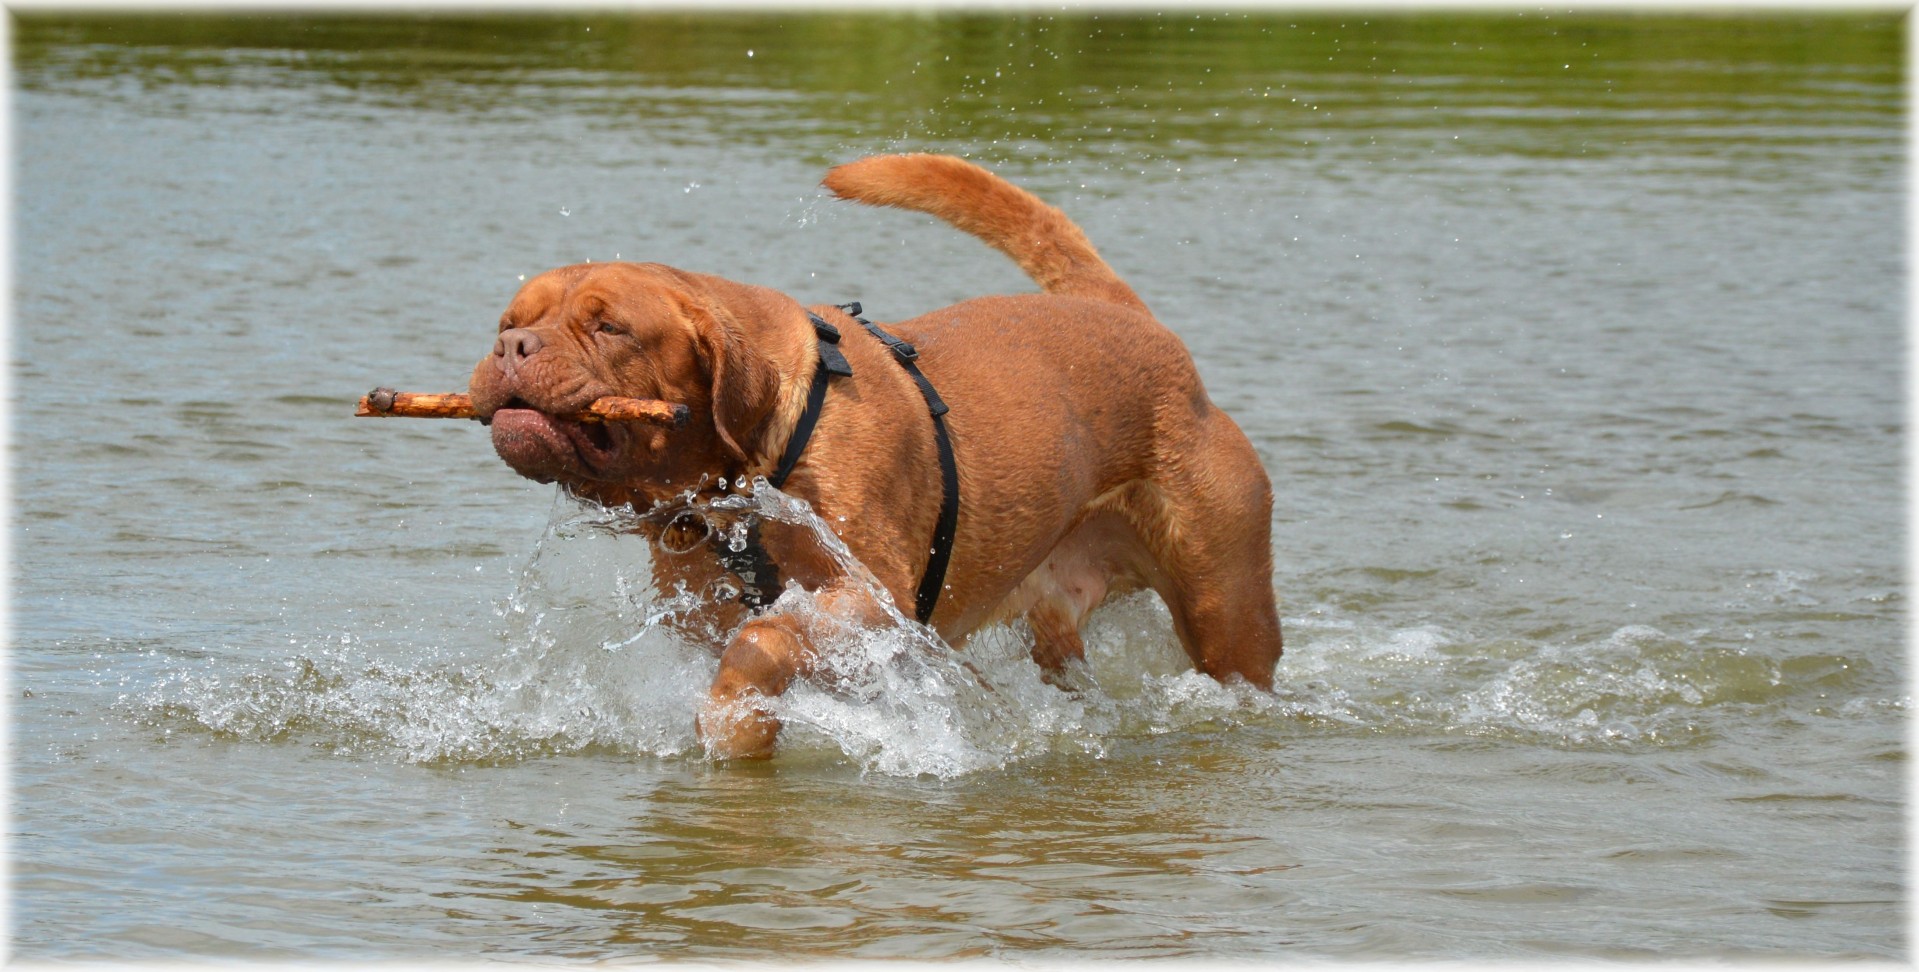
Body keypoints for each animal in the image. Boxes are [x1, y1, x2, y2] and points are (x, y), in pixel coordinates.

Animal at [464, 154, 1281, 759]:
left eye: (608, 327)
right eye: (508, 321)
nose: (511, 347)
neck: (755, 467)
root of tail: (1126, 315)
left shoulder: (873, 597)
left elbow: (767, 638)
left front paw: (734, 717)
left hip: (1227, 609)